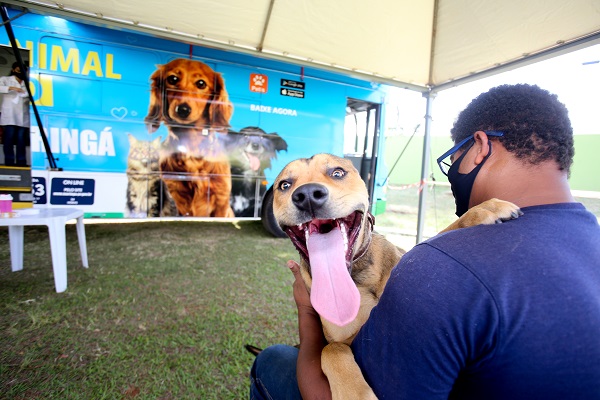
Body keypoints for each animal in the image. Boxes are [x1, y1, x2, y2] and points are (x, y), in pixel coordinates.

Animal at [272, 154, 520, 400]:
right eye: (284, 185)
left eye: (337, 173)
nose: (307, 196)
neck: (357, 277)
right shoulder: (342, 337)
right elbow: (330, 349)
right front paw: (354, 392)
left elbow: (445, 231)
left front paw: (483, 210)